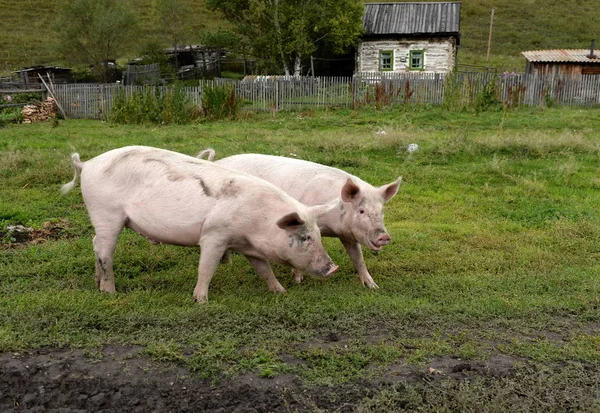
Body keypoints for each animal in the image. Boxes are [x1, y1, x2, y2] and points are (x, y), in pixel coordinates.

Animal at [60, 146, 338, 300]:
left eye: (318, 234)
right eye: (305, 237)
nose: (332, 268)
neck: (258, 221)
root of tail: (87, 163)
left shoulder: (250, 247)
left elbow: (264, 270)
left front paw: (281, 292)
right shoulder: (214, 235)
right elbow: (206, 268)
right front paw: (201, 300)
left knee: (95, 244)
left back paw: (98, 284)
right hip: (105, 212)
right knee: (105, 252)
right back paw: (109, 292)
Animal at [203, 150, 404, 288]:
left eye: (381, 211)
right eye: (361, 211)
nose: (384, 236)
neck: (333, 225)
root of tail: (218, 161)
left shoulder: (347, 234)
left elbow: (358, 258)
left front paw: (373, 286)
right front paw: (298, 281)